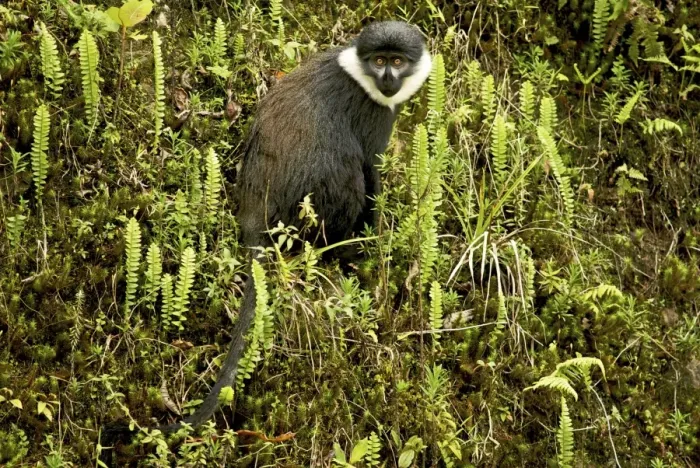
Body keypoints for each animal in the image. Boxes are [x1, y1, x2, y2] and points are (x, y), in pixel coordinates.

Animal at [100, 20, 431, 464]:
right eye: (380, 61)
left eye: (396, 60)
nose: (389, 78)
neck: (357, 71)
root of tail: (255, 209)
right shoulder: (372, 114)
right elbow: (372, 173)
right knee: (347, 170)